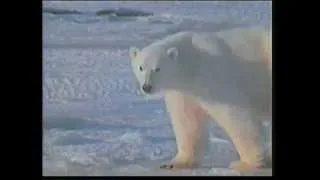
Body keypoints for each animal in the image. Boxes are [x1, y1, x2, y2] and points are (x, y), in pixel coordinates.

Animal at [129, 26, 272, 172]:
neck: (191, 62)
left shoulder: (210, 76)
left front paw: (246, 163)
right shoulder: (183, 91)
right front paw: (174, 163)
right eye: (141, 67)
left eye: (157, 68)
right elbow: (187, 121)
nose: (147, 87)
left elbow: (234, 114)